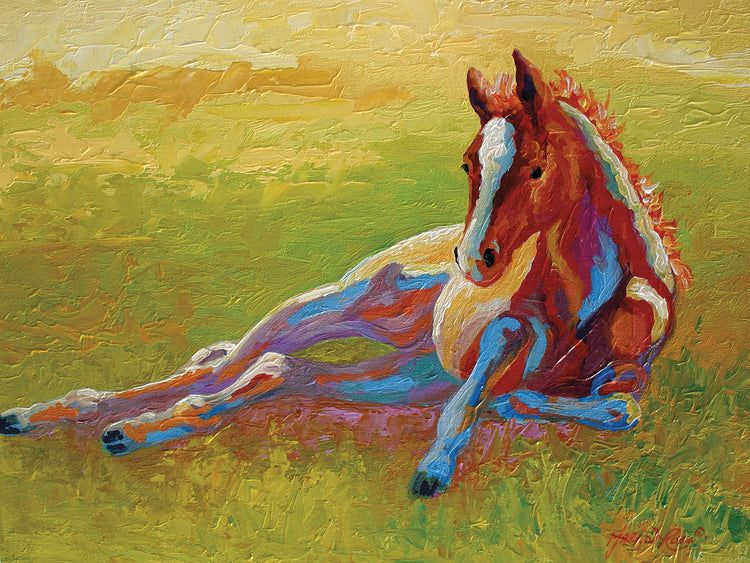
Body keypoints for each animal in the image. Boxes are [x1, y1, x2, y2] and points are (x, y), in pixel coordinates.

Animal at [0, 50, 690, 497]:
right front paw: (436, 469)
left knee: (272, 370)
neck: (596, 289)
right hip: (336, 306)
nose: (474, 262)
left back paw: (125, 432)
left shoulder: (617, 368)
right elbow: (489, 388)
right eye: (469, 163)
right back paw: (63, 417)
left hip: (404, 369)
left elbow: (613, 403)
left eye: (538, 168)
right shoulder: (502, 333)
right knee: (227, 366)